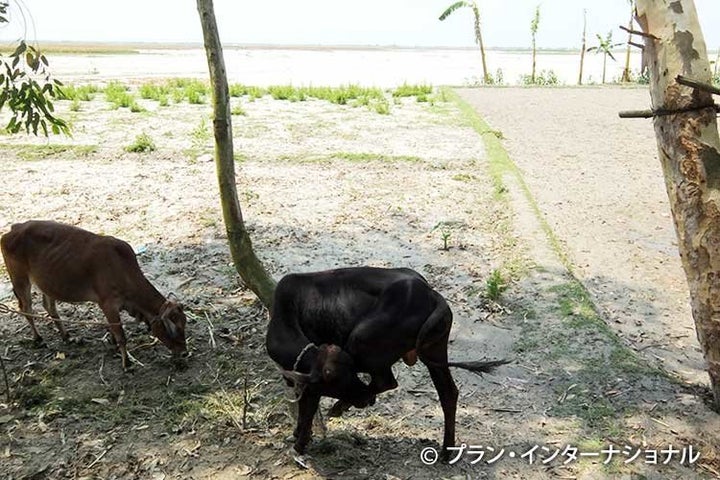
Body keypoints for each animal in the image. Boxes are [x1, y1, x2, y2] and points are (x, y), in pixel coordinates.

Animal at [0, 219, 186, 370]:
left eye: (184, 324)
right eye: (174, 328)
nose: (184, 352)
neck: (123, 270)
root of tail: (14, 228)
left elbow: (114, 330)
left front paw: (113, 345)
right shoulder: (108, 303)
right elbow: (121, 335)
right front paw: (127, 364)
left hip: (47, 283)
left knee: (49, 307)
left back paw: (67, 336)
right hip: (20, 279)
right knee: (26, 308)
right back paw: (38, 338)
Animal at [268, 266, 510, 458]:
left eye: (339, 383)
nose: (365, 400)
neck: (288, 313)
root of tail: (431, 294)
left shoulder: (311, 385)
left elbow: (308, 408)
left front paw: (300, 443)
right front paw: (298, 434)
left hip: (362, 341)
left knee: (387, 382)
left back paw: (342, 406)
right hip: (435, 353)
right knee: (448, 393)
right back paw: (446, 451)